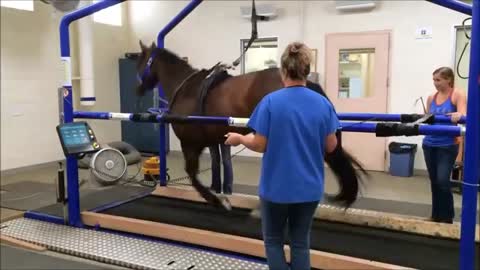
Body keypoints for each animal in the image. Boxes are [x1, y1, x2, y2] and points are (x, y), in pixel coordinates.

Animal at [135, 40, 368, 211]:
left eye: (140, 62)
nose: (138, 89)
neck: (185, 87)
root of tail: (305, 83)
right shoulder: (210, 142)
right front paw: (218, 195)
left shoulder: (190, 143)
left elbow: (192, 175)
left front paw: (217, 200)